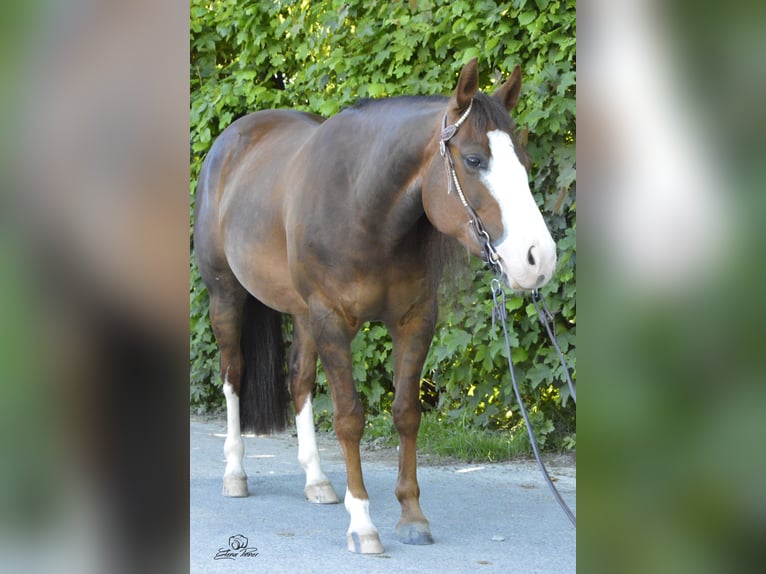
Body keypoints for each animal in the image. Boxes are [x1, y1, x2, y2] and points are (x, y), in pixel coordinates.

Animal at [193, 58, 557, 554]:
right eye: (473, 160)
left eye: (525, 161)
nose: (538, 258)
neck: (364, 209)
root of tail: (230, 140)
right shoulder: (332, 319)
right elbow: (349, 417)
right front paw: (363, 523)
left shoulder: (415, 321)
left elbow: (405, 412)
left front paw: (412, 516)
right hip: (226, 296)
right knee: (233, 374)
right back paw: (235, 473)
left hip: (302, 314)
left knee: (299, 381)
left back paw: (317, 481)